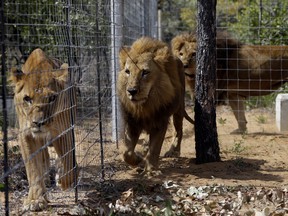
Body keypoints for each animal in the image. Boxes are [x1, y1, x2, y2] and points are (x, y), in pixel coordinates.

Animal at [10, 48, 77, 211]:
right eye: (27, 99)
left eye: (52, 98)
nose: (38, 123)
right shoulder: (26, 134)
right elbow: (33, 168)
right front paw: (35, 199)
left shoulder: (64, 130)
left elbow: (68, 158)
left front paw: (63, 179)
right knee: (44, 156)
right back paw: (46, 178)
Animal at [117, 36, 194, 176]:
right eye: (127, 71)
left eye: (145, 72)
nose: (131, 91)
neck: (146, 106)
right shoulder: (132, 122)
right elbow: (127, 152)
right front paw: (138, 160)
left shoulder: (160, 121)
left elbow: (155, 149)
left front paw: (151, 170)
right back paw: (145, 147)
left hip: (179, 108)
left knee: (178, 130)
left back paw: (173, 151)